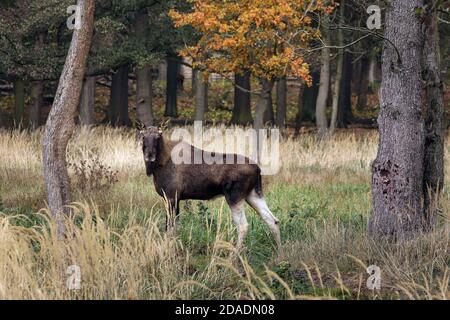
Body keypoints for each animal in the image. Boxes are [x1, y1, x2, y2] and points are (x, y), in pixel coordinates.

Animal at [139, 125, 284, 255]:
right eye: (144, 137)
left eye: (158, 137)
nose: (149, 155)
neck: (158, 165)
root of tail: (258, 169)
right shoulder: (175, 198)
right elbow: (174, 228)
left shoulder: (171, 196)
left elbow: (170, 228)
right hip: (253, 194)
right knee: (272, 220)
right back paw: (280, 256)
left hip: (234, 196)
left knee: (243, 225)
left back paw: (233, 256)